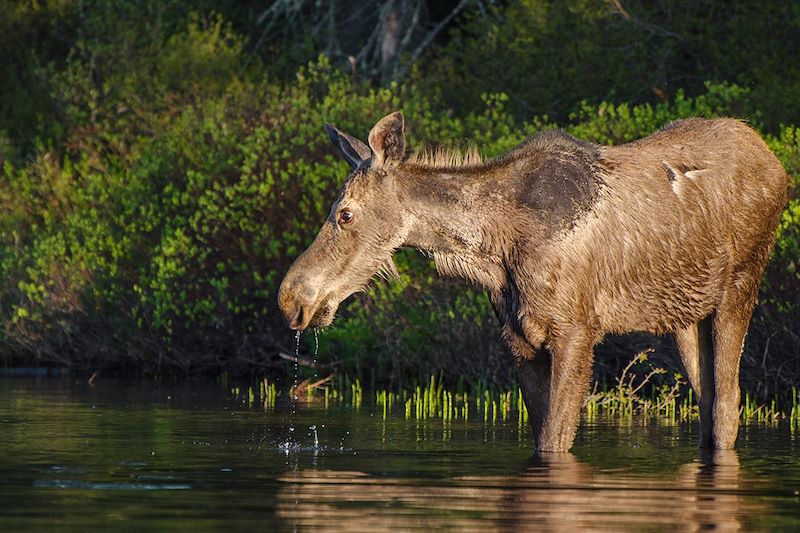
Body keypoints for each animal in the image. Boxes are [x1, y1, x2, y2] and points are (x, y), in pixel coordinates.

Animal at [280, 111, 788, 448]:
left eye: (345, 214)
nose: (291, 298)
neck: (494, 247)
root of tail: (778, 167)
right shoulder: (518, 337)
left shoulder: (577, 330)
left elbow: (554, 439)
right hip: (684, 313)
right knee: (707, 404)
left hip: (741, 285)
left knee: (727, 405)